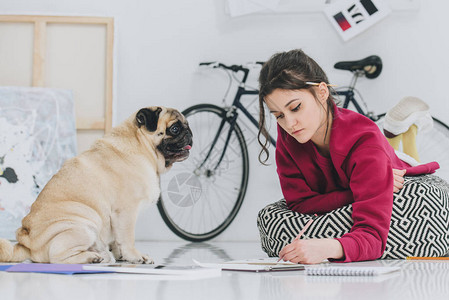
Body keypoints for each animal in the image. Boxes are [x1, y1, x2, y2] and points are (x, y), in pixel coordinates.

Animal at [0, 106, 191, 264]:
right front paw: (135, 256)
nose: (190, 134)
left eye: (187, 126)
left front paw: (121, 256)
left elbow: (117, 240)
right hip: (84, 225)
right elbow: (127, 238)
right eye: (174, 129)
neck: (141, 146)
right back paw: (92, 257)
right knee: (57, 258)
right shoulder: (126, 212)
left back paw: (101, 254)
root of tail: (26, 243)